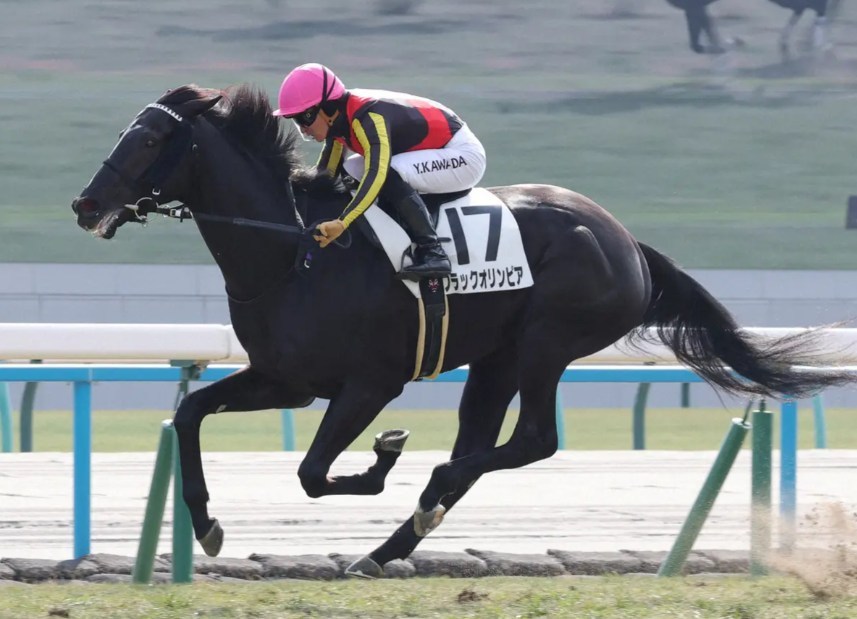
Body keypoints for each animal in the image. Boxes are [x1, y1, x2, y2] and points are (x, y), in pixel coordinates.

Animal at [71, 83, 854, 578]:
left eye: (147, 139)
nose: (85, 204)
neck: (294, 250)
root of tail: (626, 241)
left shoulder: (369, 383)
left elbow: (313, 472)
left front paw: (383, 459)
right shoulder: (287, 379)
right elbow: (192, 412)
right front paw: (205, 523)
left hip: (545, 343)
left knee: (528, 441)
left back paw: (421, 497)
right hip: (497, 357)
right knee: (482, 444)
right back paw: (391, 543)